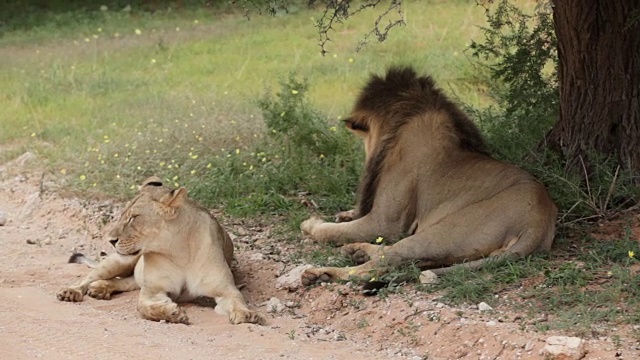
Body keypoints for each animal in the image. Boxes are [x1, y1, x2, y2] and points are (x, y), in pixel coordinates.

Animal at [56, 177, 264, 326]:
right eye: (123, 216)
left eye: (133, 217)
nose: (111, 240)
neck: (178, 252)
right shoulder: (152, 291)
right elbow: (145, 308)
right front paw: (173, 313)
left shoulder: (225, 289)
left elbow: (237, 299)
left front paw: (248, 314)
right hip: (120, 261)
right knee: (89, 278)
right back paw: (73, 291)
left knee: (126, 282)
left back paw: (100, 289)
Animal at [300, 66, 556, 286]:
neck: (407, 116)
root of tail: (537, 223)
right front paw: (344, 214)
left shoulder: (385, 222)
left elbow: (331, 231)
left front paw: (311, 224)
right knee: (394, 256)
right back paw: (357, 250)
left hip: (440, 234)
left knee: (383, 264)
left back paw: (320, 273)